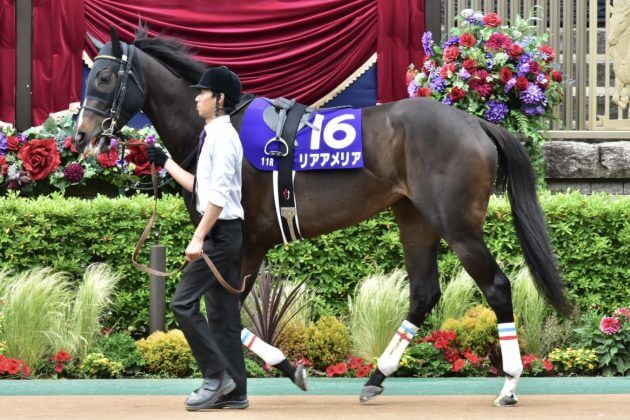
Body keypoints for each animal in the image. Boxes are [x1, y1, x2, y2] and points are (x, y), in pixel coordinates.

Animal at [74, 27, 572, 406]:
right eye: (90, 73)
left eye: (104, 76)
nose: (80, 135)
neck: (215, 126)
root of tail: (476, 124)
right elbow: (226, 314)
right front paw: (250, 379)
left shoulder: (245, 242)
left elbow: (226, 312)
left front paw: (272, 373)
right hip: (415, 219)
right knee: (425, 292)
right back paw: (376, 377)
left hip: (458, 226)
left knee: (497, 286)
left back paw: (509, 384)